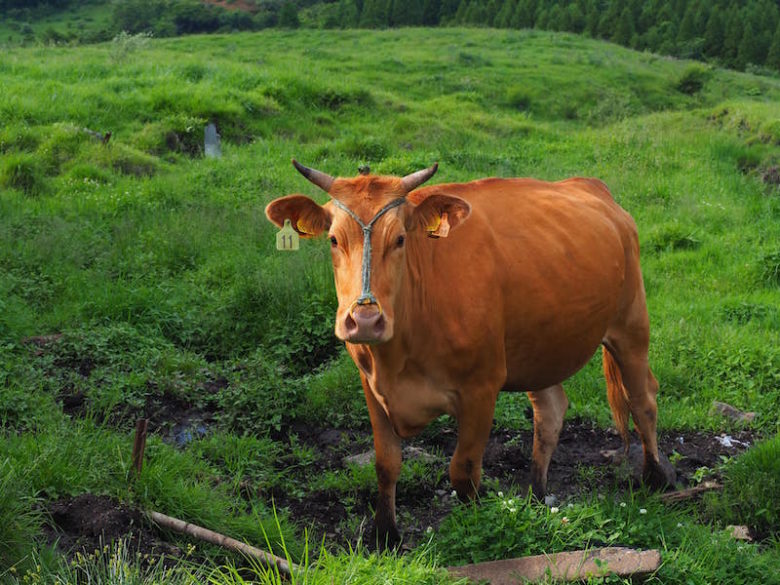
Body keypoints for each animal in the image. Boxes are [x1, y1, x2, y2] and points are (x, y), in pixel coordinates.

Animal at [266, 159, 676, 544]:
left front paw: (476, 525)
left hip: (631, 323)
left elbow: (463, 470)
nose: (365, 320)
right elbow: (386, 464)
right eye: (334, 240)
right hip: (539, 344)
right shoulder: (371, 385)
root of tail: (591, 186)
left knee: (643, 399)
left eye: (400, 239)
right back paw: (536, 493)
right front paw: (385, 535)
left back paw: (657, 478)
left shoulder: (482, 387)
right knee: (551, 411)